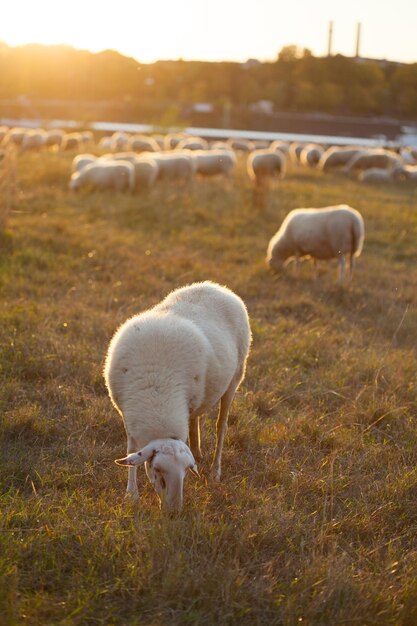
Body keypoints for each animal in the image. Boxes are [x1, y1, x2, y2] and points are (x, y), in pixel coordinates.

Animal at [103, 280, 250, 510]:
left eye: (186, 473)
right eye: (156, 469)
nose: (174, 512)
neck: (157, 389)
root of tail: (215, 286)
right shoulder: (125, 412)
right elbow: (131, 448)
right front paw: (131, 494)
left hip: (235, 377)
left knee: (221, 427)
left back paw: (215, 471)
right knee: (195, 420)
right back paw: (198, 451)